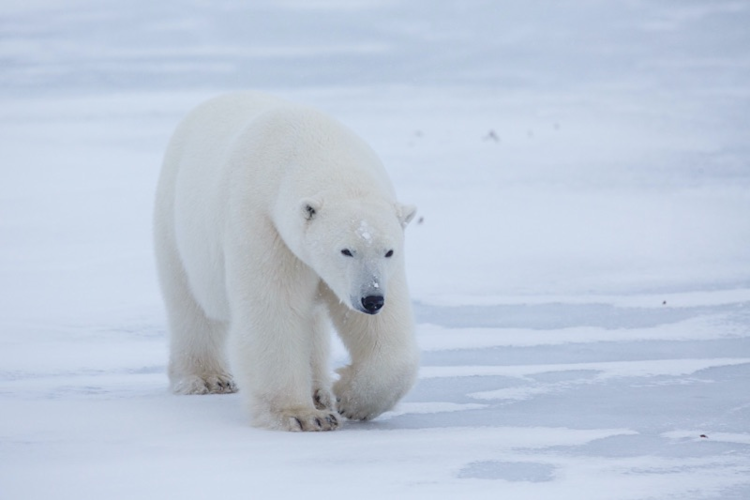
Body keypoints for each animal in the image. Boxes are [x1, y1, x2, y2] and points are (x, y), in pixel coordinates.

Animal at [153, 91, 419, 431]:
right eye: (346, 250)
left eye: (388, 251)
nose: (371, 299)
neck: (314, 145)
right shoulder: (262, 223)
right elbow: (274, 309)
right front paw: (303, 415)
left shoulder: (378, 271)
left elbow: (382, 327)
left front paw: (351, 400)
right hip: (176, 223)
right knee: (190, 305)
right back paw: (207, 378)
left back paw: (320, 390)